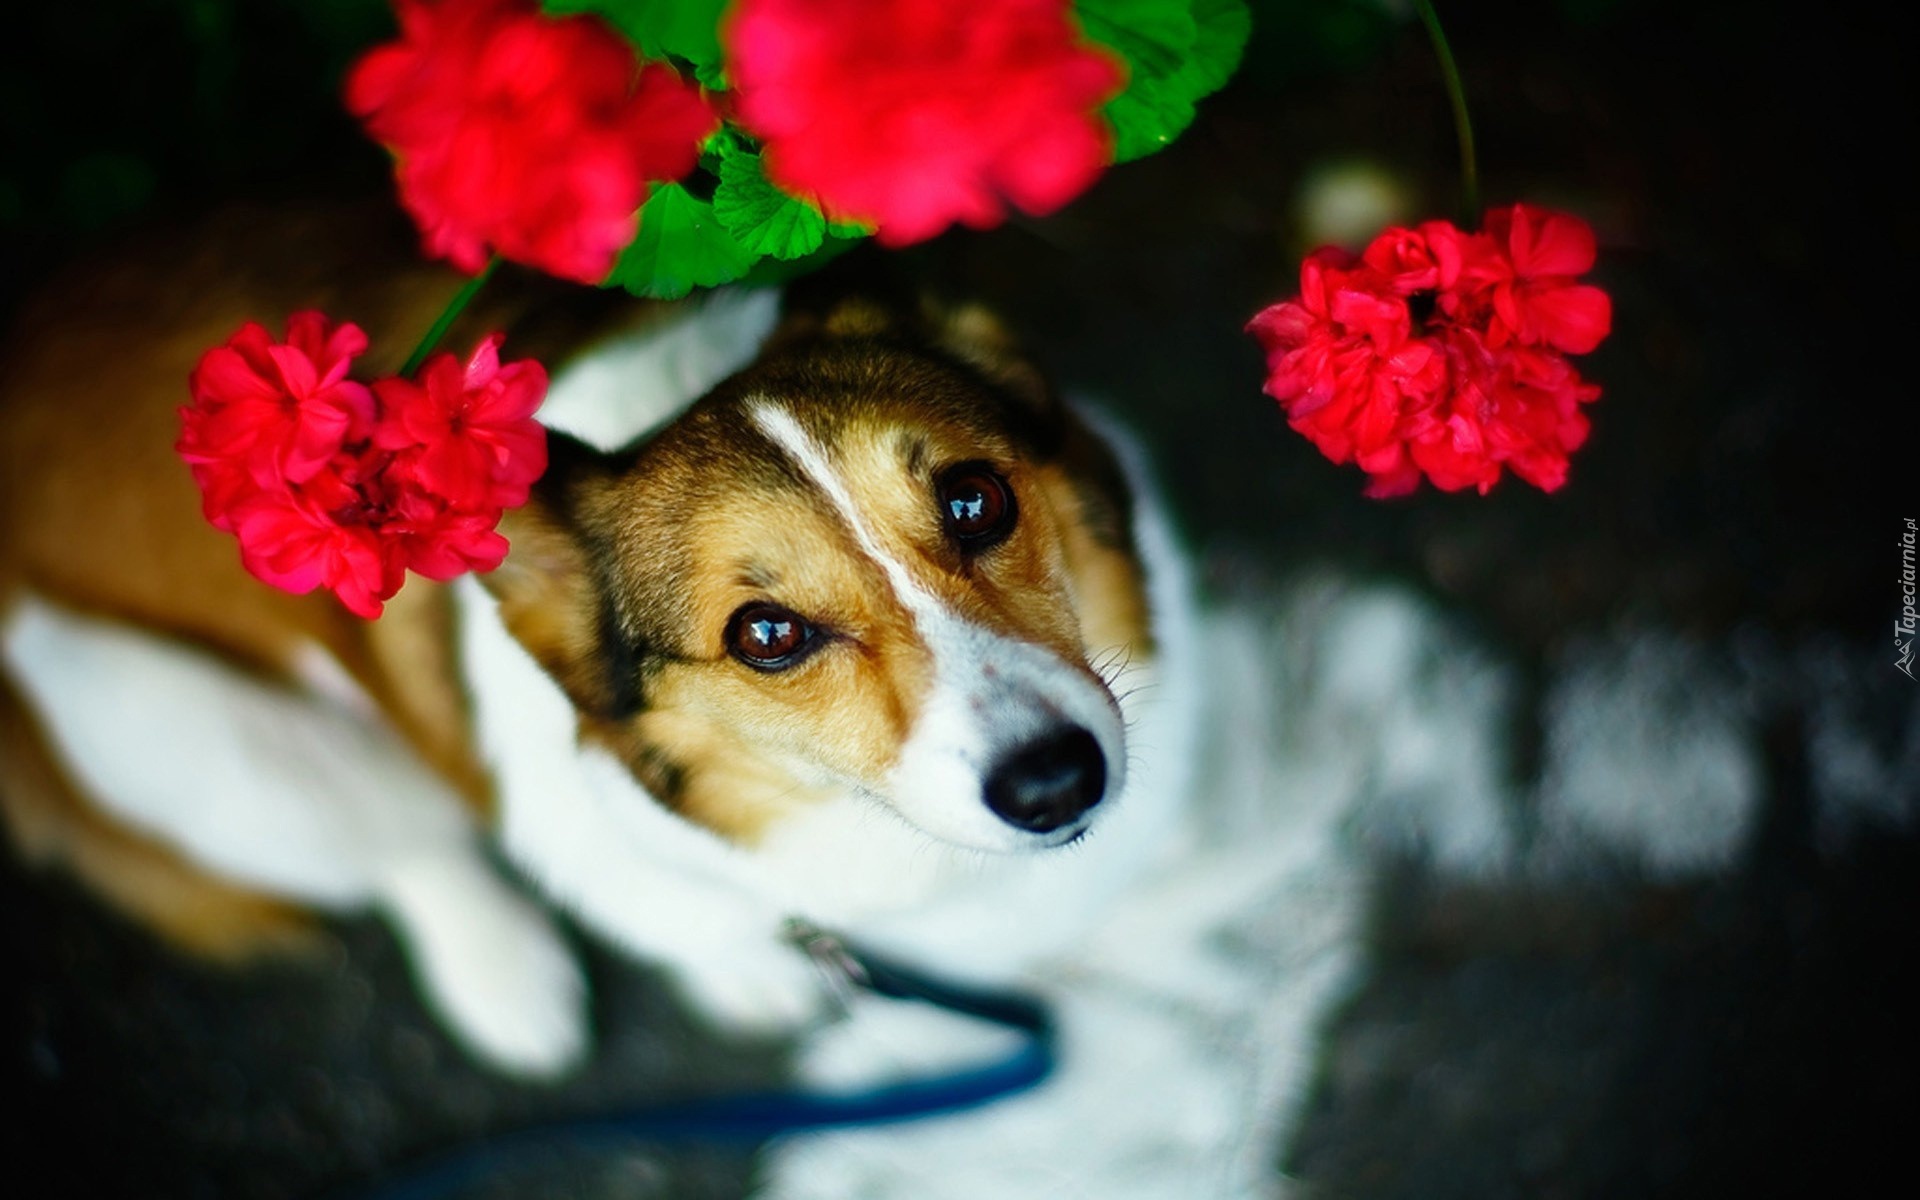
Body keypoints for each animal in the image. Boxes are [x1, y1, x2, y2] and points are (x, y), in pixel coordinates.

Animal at [0, 198, 1198, 1082]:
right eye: (767, 633)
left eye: (975, 500)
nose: (1055, 783)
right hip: (182, 733)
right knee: (396, 845)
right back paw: (510, 979)